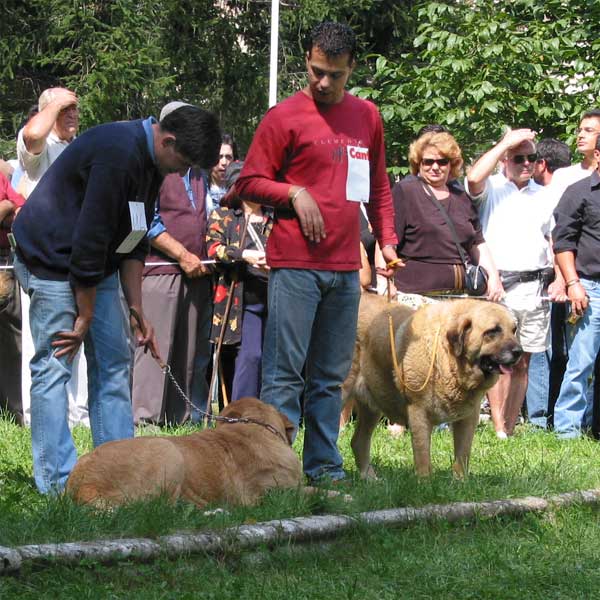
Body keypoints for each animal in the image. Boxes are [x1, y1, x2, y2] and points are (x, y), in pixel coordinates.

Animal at [344, 294, 524, 478]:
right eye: (493, 331)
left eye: (513, 330)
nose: (519, 352)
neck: (447, 358)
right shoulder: (419, 413)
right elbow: (423, 456)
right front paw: (425, 482)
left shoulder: (468, 418)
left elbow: (462, 455)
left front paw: (460, 481)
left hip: (373, 404)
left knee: (358, 442)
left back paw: (369, 478)